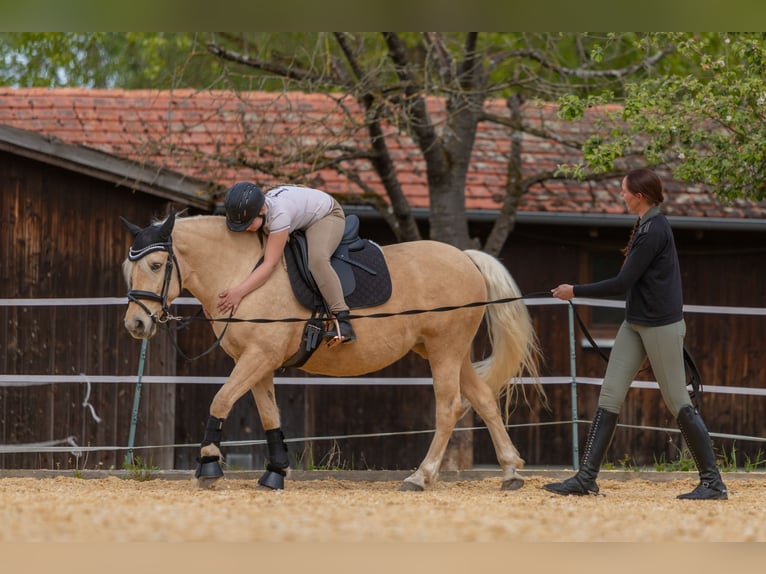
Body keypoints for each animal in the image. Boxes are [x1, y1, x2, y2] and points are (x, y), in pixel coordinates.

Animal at [121, 214, 544, 492]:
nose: (136, 325)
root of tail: (465, 257)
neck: (244, 272)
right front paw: (275, 473)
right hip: (448, 351)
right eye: (130, 268)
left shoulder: (258, 357)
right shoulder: (258, 363)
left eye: (156, 265)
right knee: (484, 400)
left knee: (449, 407)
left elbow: (221, 400)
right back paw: (510, 472)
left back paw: (420, 477)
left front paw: (209, 464)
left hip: (444, 349)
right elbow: (269, 415)